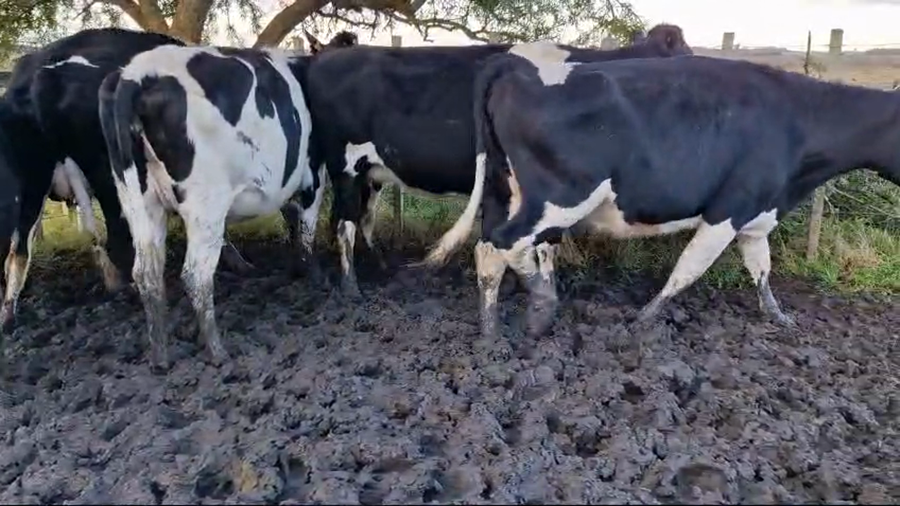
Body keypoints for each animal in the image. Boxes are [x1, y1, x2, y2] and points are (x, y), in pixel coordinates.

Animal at [0, 27, 354, 335]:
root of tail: (40, 72)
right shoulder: (308, 168)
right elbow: (300, 220)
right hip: (107, 180)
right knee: (119, 243)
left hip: (34, 177)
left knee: (18, 252)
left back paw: (9, 317)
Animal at [97, 38, 356, 371]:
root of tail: (136, 74)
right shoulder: (314, 173)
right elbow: (308, 228)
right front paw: (316, 276)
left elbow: (292, 219)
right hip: (205, 204)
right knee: (195, 274)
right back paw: (217, 351)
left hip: (138, 202)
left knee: (147, 274)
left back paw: (160, 356)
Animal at [303, 24, 693, 298]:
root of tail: (327, 57)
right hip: (345, 164)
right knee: (344, 223)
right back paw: (351, 286)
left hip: (369, 172)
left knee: (360, 218)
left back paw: (379, 265)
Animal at [427, 47, 900, 340]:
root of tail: (513, 64)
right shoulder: (727, 210)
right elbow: (688, 270)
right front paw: (642, 321)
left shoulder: (756, 216)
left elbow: (762, 272)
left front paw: (780, 319)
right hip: (560, 195)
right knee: (501, 245)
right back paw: (531, 313)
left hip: (507, 189)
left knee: (507, 247)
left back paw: (497, 329)